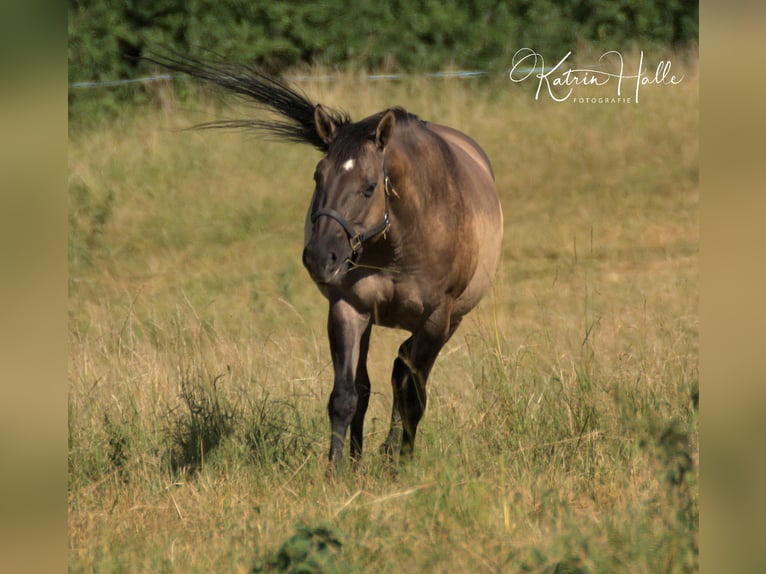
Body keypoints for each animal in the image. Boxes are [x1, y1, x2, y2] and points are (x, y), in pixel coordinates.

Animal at [148, 54, 503, 469]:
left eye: (369, 186)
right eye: (318, 177)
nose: (320, 257)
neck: (401, 241)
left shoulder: (435, 319)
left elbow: (413, 395)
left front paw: (402, 463)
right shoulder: (348, 308)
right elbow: (346, 396)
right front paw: (337, 469)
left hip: (450, 322)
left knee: (403, 373)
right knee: (377, 379)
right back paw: (362, 455)